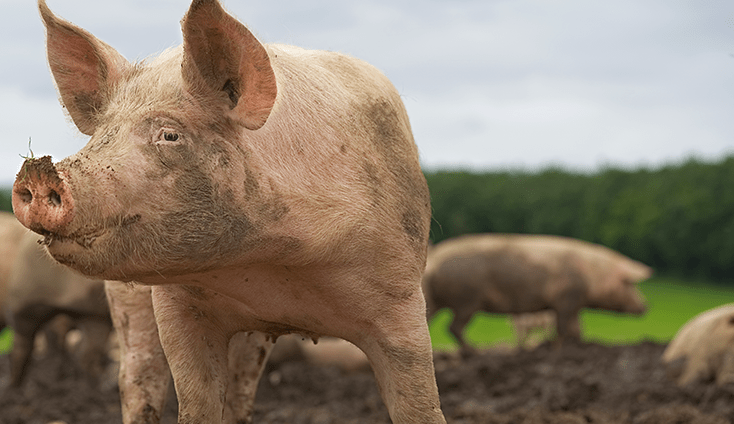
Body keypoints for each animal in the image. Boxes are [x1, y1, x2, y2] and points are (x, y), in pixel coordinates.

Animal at [423, 233, 651, 347]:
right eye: (629, 284)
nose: (646, 306)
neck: (593, 274)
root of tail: (433, 260)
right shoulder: (566, 297)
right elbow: (564, 327)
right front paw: (559, 346)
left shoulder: (574, 303)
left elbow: (576, 329)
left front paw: (579, 345)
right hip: (467, 299)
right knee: (454, 328)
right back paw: (475, 353)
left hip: (435, 299)